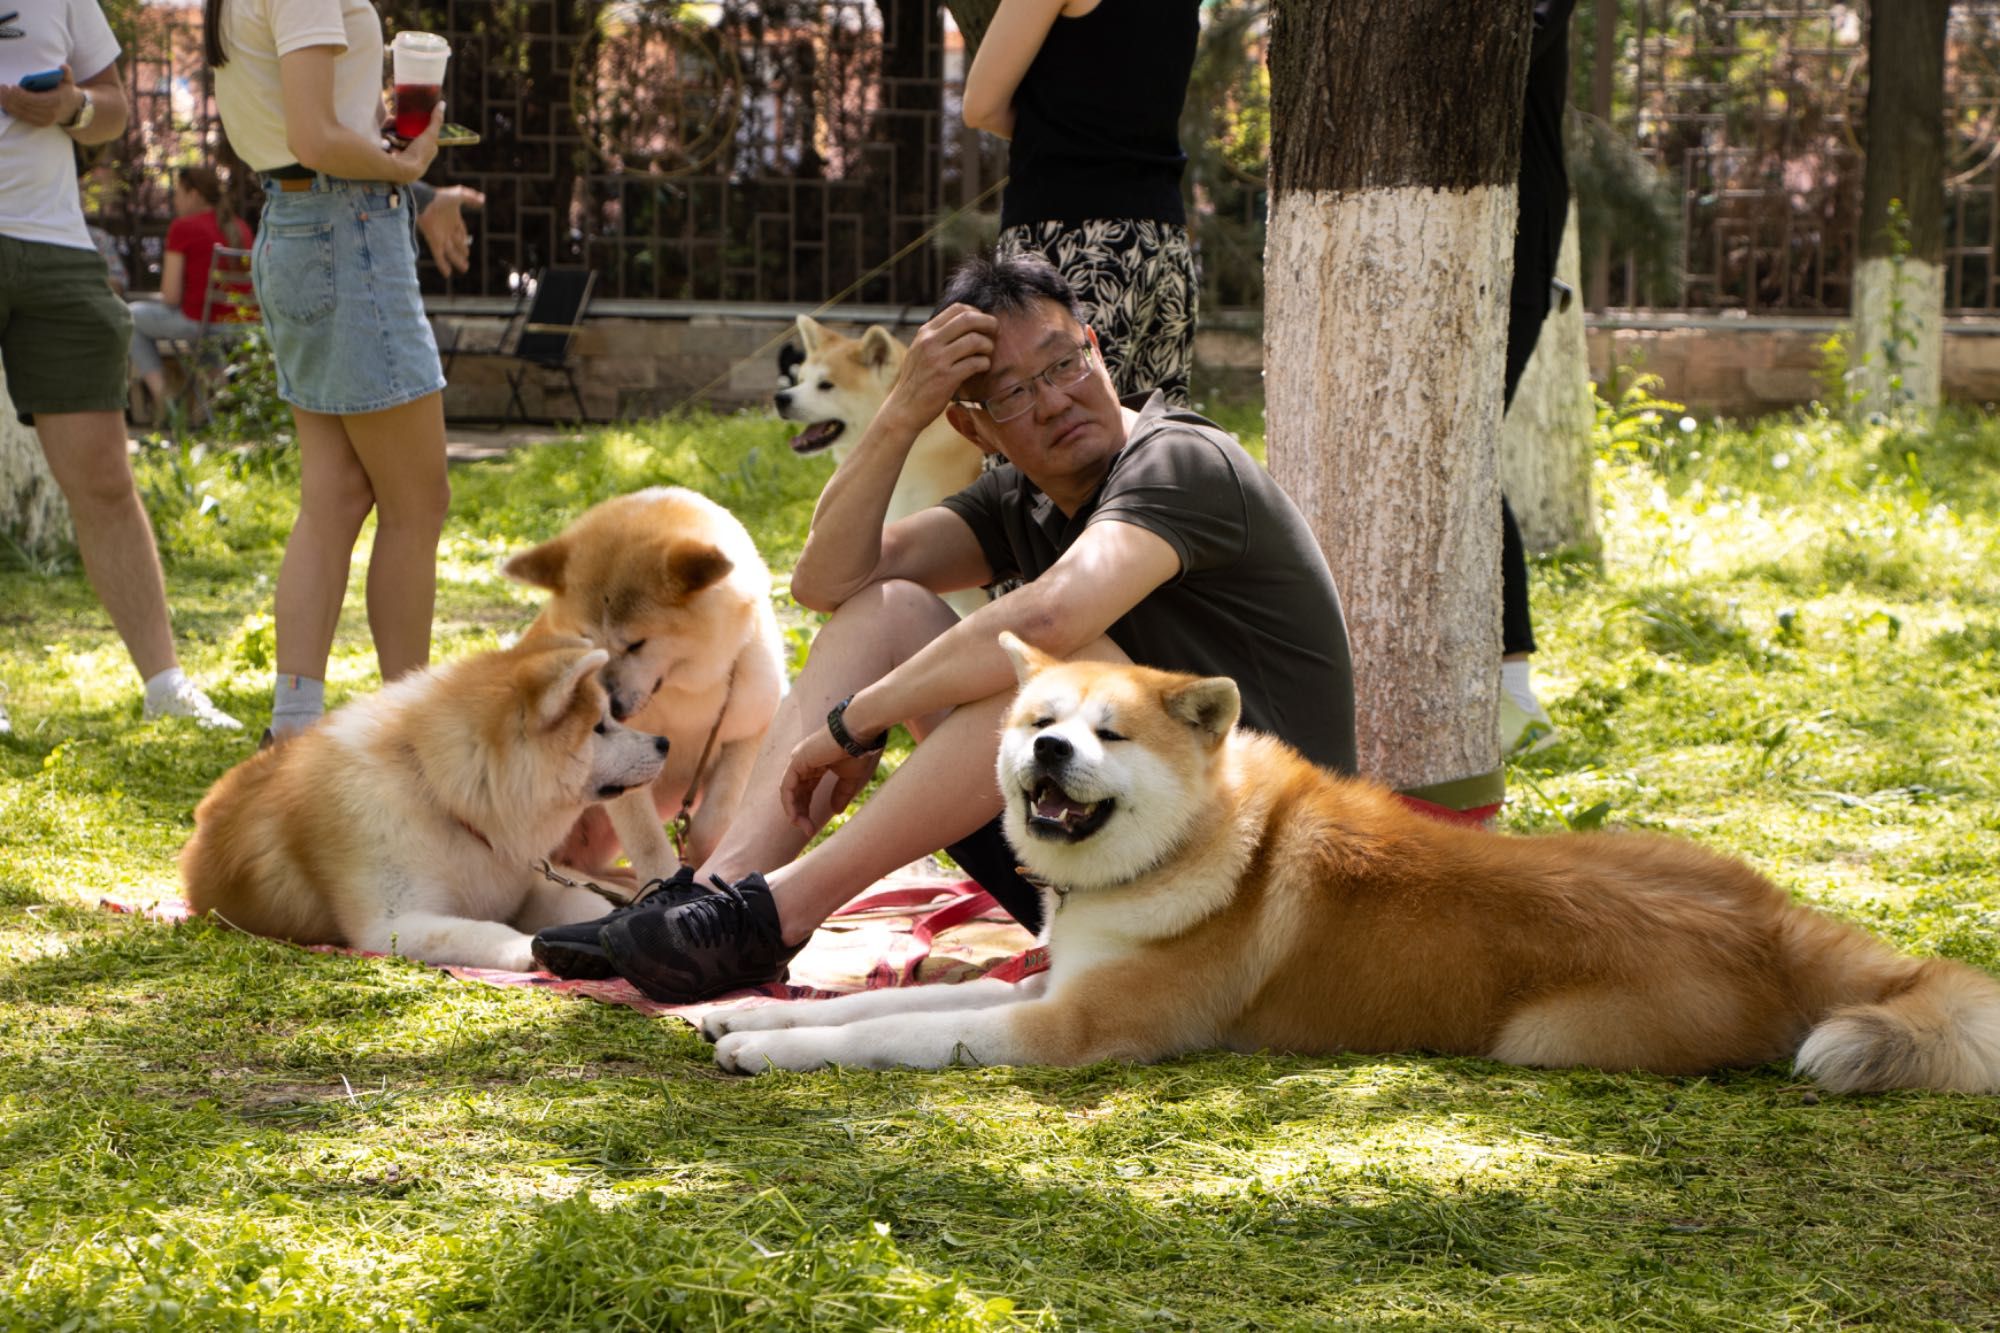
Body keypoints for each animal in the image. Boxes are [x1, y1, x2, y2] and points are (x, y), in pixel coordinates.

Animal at [179, 632, 668, 964]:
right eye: (599, 727)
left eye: (609, 719)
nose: (664, 742)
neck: (436, 790)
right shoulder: (392, 923)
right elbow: (481, 931)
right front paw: (521, 947)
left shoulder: (526, 882)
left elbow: (585, 905)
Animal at [704, 632, 2000, 1088]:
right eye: (1038, 722)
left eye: (1108, 735)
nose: (1050, 751)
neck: (1190, 849)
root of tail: (1774, 923)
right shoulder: (1047, 983)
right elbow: (894, 999)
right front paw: (740, 1012)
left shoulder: (1066, 1027)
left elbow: (897, 1031)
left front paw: (778, 1050)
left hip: (1547, 1036)